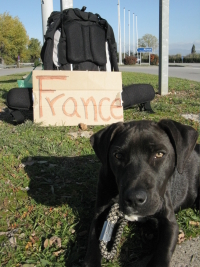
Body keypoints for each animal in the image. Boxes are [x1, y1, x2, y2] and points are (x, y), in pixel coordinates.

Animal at [83, 120, 200, 266]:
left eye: (159, 154)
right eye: (118, 155)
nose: (134, 199)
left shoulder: (170, 222)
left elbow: (162, 255)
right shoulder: (99, 215)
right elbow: (92, 250)